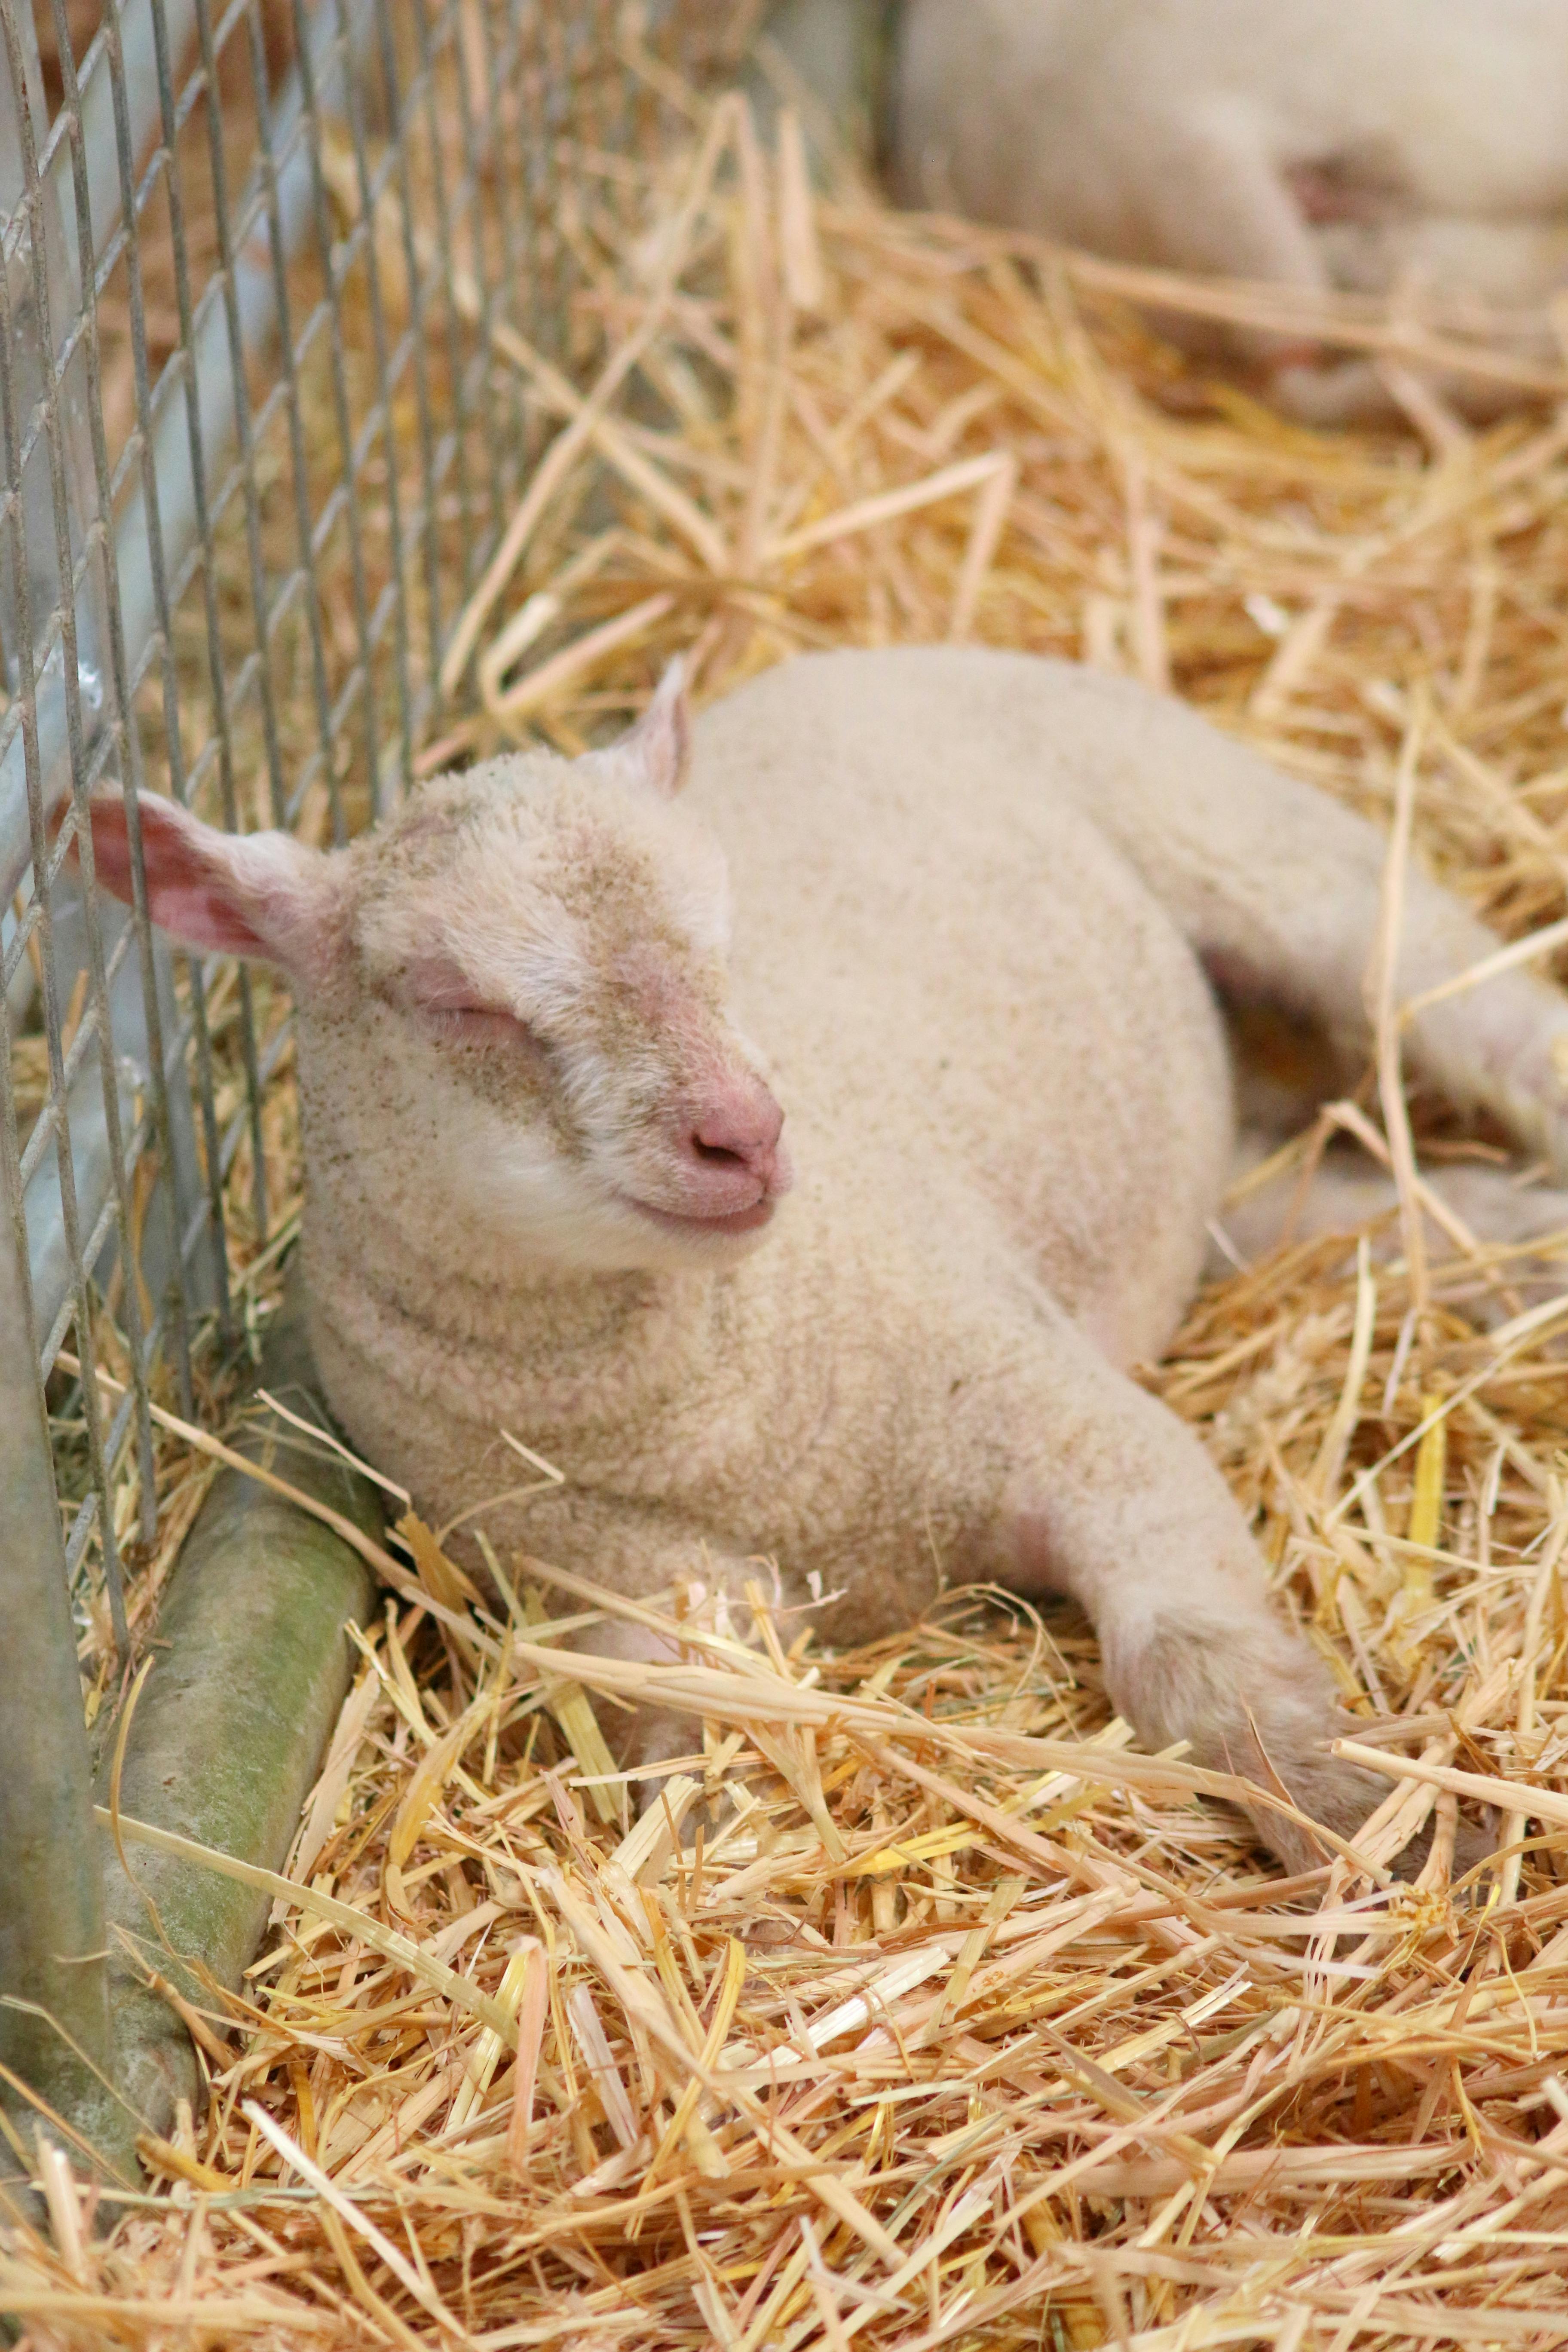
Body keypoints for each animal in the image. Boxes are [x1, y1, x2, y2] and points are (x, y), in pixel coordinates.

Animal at [85, 647, 1568, 1871]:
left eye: (724, 939)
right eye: (457, 1001)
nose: (746, 1133)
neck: (724, 1414)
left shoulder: (1078, 1423)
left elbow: (1197, 1667)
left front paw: (1365, 1816)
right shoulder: (607, 1588)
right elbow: (677, 1745)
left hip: (1270, 852)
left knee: (1487, 1024)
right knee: (1295, 1196)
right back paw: (1505, 1242)